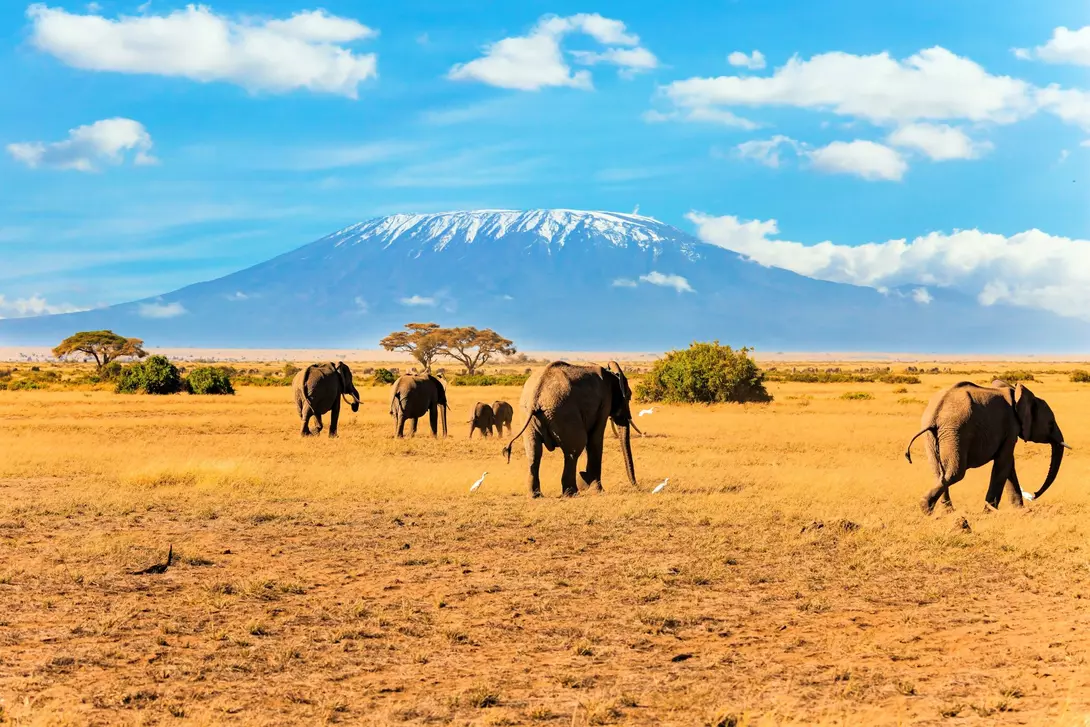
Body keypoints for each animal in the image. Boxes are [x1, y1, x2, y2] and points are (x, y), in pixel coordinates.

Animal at [502, 360, 637, 497]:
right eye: (629, 396)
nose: (635, 486)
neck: (611, 374)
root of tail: (537, 396)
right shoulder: (604, 401)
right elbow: (595, 439)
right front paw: (598, 491)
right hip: (564, 412)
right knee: (574, 450)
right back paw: (571, 493)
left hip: (528, 416)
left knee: (534, 451)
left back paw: (536, 495)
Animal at [905, 380, 1070, 514]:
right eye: (1050, 423)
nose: (1033, 494)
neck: (1015, 392)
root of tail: (935, 413)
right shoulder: (1011, 426)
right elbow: (1004, 464)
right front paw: (990, 512)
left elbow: (1008, 465)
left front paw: (1019, 510)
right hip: (955, 432)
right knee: (955, 473)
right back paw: (926, 507)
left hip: (936, 435)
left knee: (938, 472)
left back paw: (946, 512)